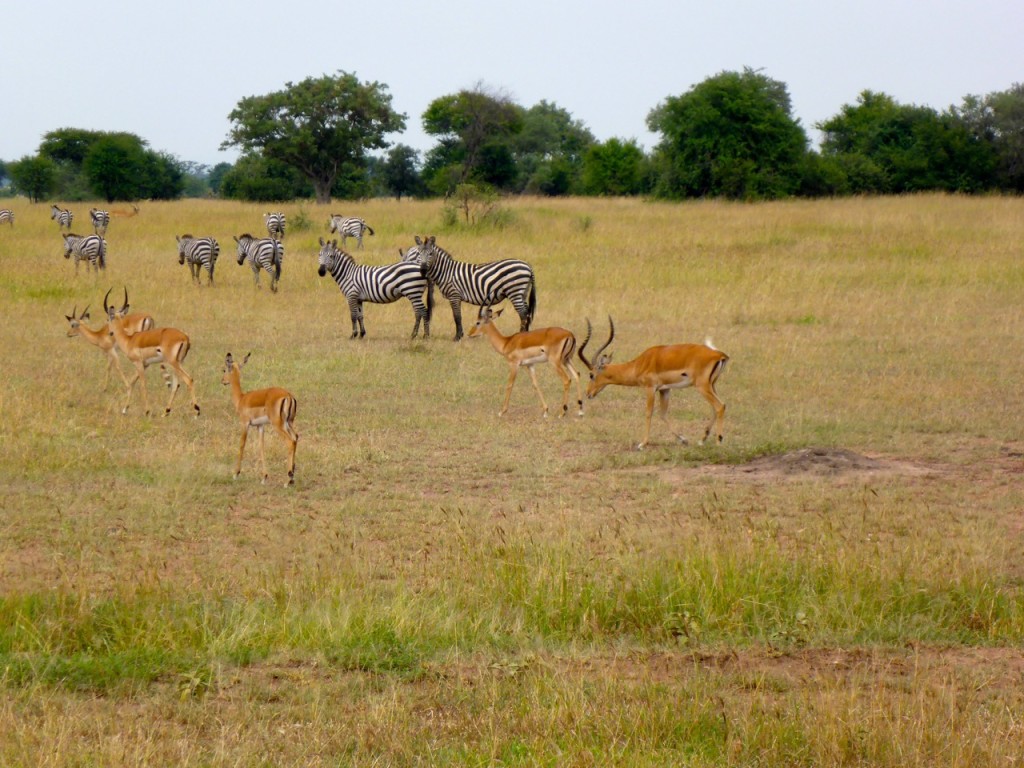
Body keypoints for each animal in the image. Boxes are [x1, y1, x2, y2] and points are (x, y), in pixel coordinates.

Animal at [104, 290, 199, 421]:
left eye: (108, 319)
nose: (110, 333)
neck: (129, 340)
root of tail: (185, 338)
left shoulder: (138, 363)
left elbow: (142, 385)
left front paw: (147, 411)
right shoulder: (145, 364)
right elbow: (131, 382)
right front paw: (124, 409)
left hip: (173, 363)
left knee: (188, 379)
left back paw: (196, 412)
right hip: (177, 364)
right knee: (176, 385)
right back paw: (166, 412)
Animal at [222, 354, 299, 487]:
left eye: (225, 370)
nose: (222, 381)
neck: (241, 398)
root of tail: (288, 395)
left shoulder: (245, 424)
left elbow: (242, 444)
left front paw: (236, 474)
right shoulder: (260, 426)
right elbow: (261, 446)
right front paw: (264, 477)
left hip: (278, 425)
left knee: (290, 442)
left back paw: (287, 481)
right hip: (288, 423)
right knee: (296, 438)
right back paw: (291, 478)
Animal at [577, 317, 729, 450]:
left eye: (591, 375)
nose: (588, 393)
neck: (639, 364)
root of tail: (720, 355)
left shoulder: (650, 388)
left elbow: (648, 413)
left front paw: (642, 444)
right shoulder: (664, 389)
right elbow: (663, 414)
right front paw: (683, 440)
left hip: (702, 386)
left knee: (720, 406)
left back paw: (719, 442)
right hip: (711, 385)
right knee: (716, 407)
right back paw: (702, 440)